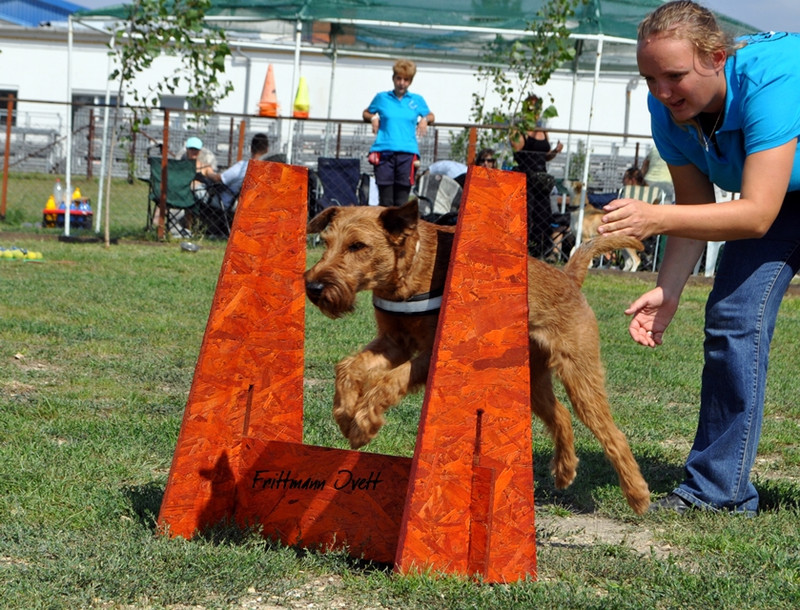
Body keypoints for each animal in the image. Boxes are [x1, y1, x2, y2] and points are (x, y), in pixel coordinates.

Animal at [306, 200, 648, 512]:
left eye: (358, 245)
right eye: (326, 242)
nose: (314, 287)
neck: (413, 268)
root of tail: (569, 277)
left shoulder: (432, 353)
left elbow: (389, 381)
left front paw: (364, 424)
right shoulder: (394, 342)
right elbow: (348, 367)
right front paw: (345, 414)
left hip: (580, 376)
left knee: (613, 435)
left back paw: (637, 494)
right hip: (533, 380)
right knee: (561, 415)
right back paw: (564, 471)